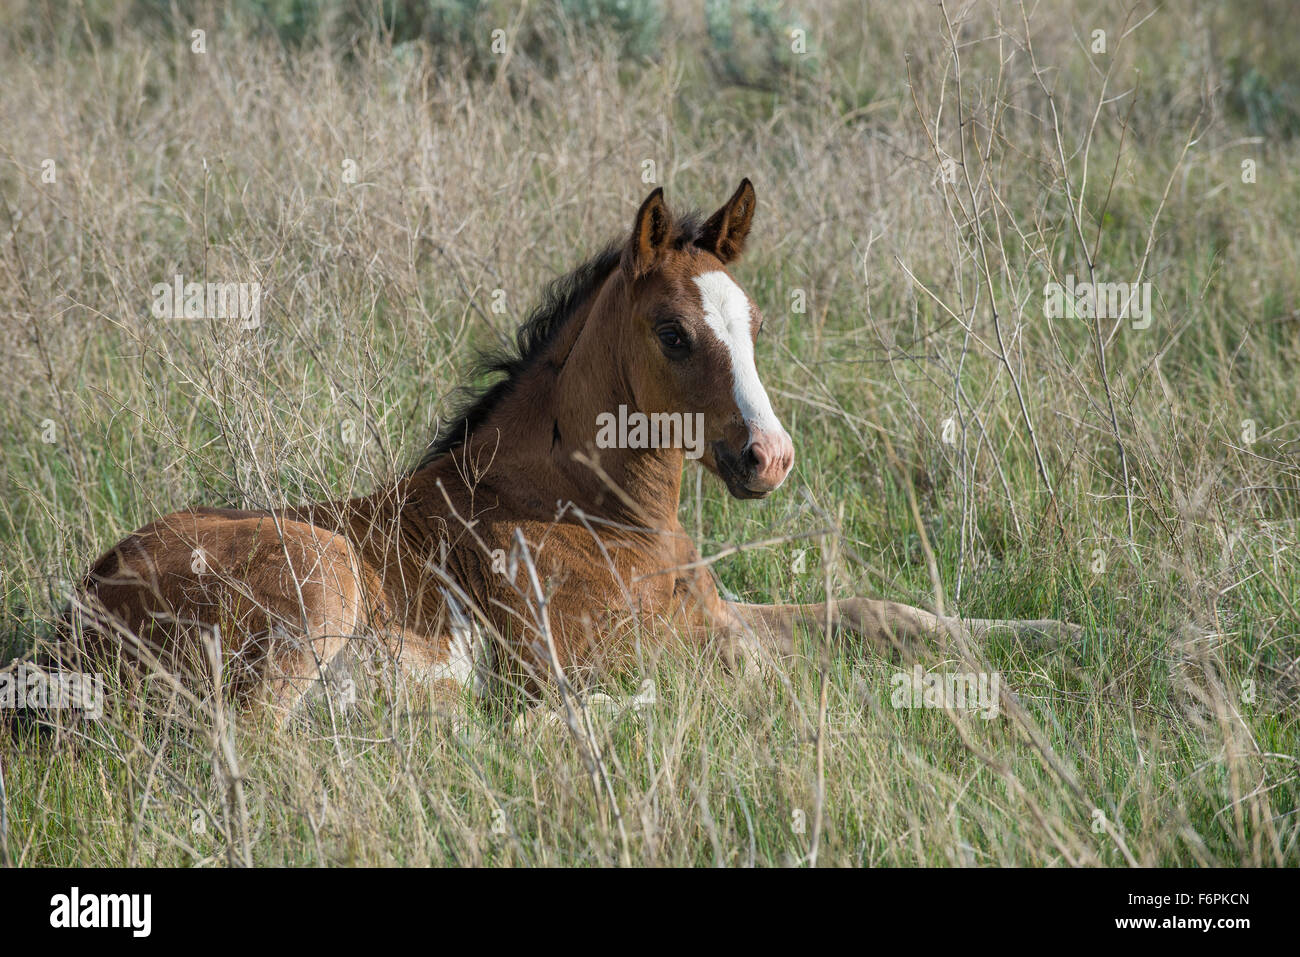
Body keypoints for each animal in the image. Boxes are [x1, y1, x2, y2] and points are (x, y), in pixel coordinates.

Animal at [63, 179, 1076, 722]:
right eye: (673, 333)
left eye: (753, 323)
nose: (769, 457)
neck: (596, 515)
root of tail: (77, 613)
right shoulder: (595, 655)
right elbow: (741, 678)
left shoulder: (717, 614)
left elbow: (880, 612)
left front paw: (1055, 635)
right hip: (322, 574)